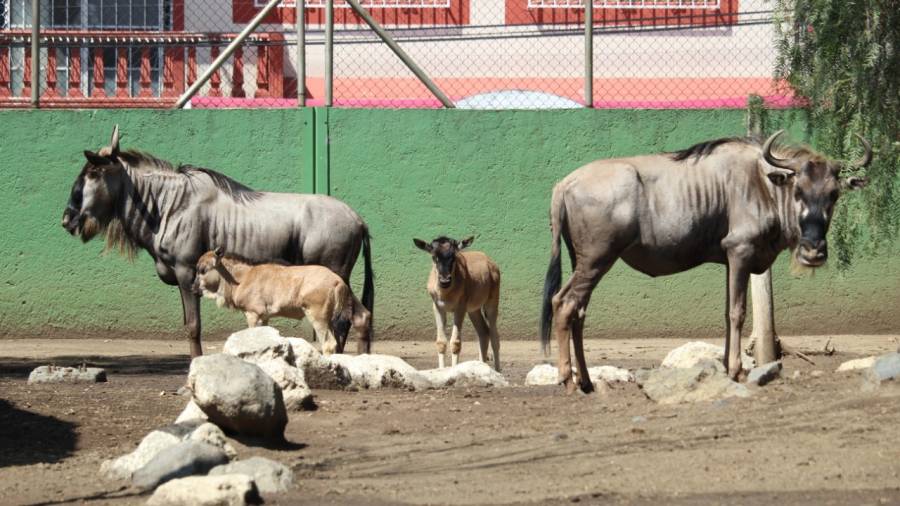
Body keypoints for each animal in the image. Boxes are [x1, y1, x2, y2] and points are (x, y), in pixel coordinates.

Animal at [195, 247, 370, 354]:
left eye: (202, 270)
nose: (193, 288)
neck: (243, 277)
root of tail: (337, 281)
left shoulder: (252, 315)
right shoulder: (264, 318)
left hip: (318, 318)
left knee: (328, 344)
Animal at [414, 235, 502, 370]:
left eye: (454, 256)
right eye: (434, 256)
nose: (445, 280)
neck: (446, 293)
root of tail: (491, 263)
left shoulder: (460, 308)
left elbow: (455, 343)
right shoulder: (438, 307)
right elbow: (441, 342)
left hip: (491, 303)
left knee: (494, 337)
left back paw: (497, 371)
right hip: (473, 310)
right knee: (483, 333)